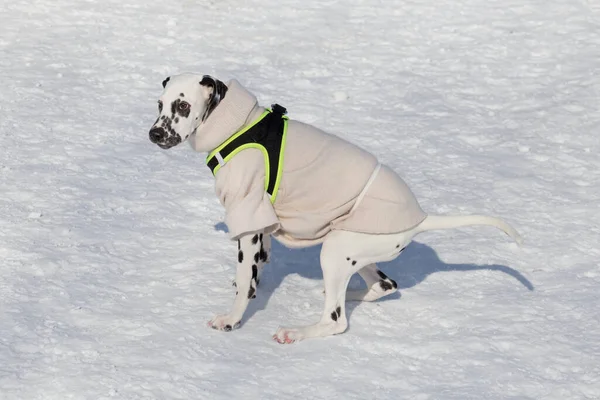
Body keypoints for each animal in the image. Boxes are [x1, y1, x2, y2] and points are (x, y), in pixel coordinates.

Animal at [148, 74, 524, 344]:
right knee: (385, 286)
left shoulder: (248, 216)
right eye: (160, 104)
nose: (154, 134)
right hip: (357, 251)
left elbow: (244, 282)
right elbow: (257, 266)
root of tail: (420, 219)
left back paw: (298, 331)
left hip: (334, 250)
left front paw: (232, 319)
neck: (236, 127)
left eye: (183, 106)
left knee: (337, 320)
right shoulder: (261, 224)